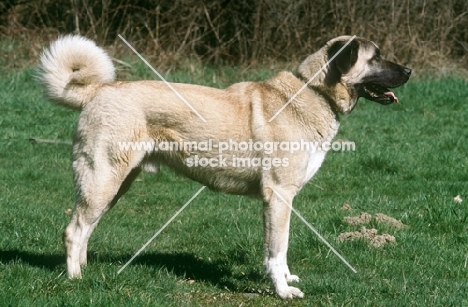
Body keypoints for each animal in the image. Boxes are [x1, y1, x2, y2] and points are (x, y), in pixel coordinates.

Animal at [37, 35, 410, 300]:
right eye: (375, 57)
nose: (408, 71)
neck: (315, 91)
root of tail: (98, 91)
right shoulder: (278, 197)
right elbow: (277, 249)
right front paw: (283, 290)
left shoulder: (281, 201)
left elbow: (282, 249)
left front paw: (286, 279)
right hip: (103, 180)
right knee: (74, 230)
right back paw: (76, 280)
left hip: (115, 184)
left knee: (87, 228)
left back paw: (86, 269)